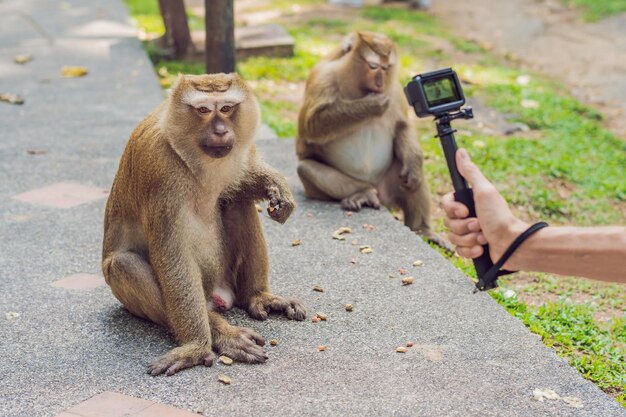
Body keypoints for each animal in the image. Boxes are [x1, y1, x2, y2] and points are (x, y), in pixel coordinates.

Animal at [101, 73, 304, 376]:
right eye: (204, 110)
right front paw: (197, 346)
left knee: (236, 200)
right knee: (123, 265)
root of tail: (218, 296)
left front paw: (276, 185)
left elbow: (244, 175)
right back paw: (222, 333)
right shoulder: (159, 170)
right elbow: (174, 256)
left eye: (227, 108)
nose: (220, 130)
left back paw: (257, 296)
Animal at [294, 30, 442, 245]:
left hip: (392, 183)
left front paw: (414, 162)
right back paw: (362, 194)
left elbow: (402, 126)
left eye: (386, 68)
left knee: (411, 174)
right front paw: (371, 105)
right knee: (306, 169)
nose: (380, 83)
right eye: (373, 66)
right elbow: (311, 125)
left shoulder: (395, 90)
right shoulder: (322, 78)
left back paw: (423, 229)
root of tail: (381, 194)